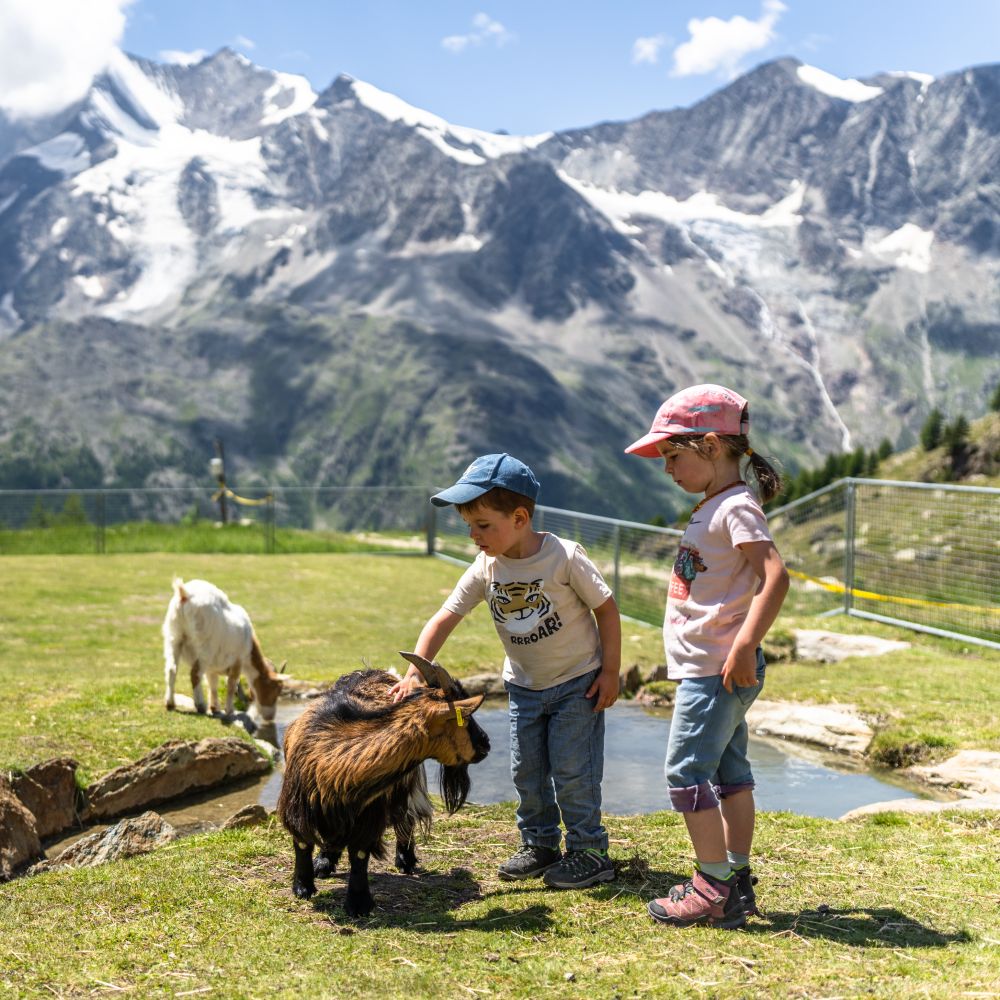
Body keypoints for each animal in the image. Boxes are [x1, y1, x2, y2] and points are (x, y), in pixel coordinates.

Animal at [162, 578, 283, 721]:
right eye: (274, 690)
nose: (270, 716)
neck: (249, 642)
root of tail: (185, 595)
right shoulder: (237, 661)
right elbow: (231, 684)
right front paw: (229, 710)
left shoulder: (212, 668)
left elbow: (212, 684)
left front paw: (215, 708)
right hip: (205, 644)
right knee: (195, 673)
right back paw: (200, 705)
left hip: (174, 637)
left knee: (171, 669)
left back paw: (170, 703)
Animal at [276, 652, 490, 917]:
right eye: (466, 718)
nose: (486, 743)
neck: (330, 754)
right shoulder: (297, 804)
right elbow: (302, 842)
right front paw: (303, 887)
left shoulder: (371, 810)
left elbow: (359, 852)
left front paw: (359, 903)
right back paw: (325, 862)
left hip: (404, 786)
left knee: (405, 818)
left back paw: (405, 860)